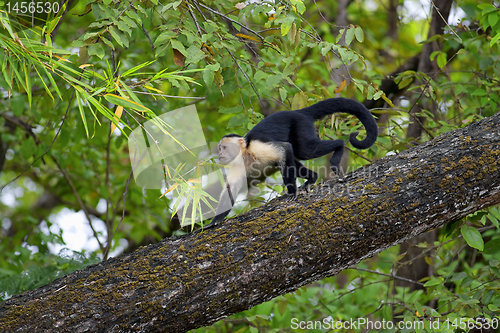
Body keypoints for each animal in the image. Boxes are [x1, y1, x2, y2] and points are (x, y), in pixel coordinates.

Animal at [204, 96, 378, 228]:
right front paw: (214, 222)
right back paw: (312, 178)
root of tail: (297, 112)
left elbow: (285, 149)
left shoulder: (256, 147)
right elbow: (231, 188)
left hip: (300, 124)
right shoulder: (237, 163)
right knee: (294, 157)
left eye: (224, 147)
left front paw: (292, 192)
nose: (219, 154)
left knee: (304, 150)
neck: (245, 153)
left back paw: (338, 148)